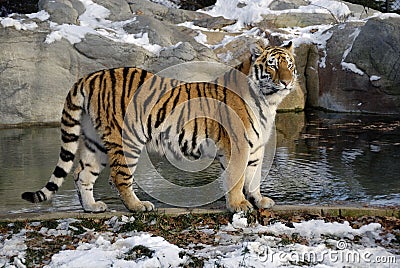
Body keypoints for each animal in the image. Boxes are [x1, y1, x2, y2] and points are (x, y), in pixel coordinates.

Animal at [22, 41, 296, 214]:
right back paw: (138, 207)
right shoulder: (238, 146)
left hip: (95, 141)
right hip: (127, 140)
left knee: (82, 173)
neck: (267, 101)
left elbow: (254, 177)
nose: (287, 82)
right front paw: (239, 205)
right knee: (118, 177)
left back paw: (92, 207)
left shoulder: (256, 148)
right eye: (272, 65)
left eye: (290, 65)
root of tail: (91, 75)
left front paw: (259, 200)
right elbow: (238, 178)